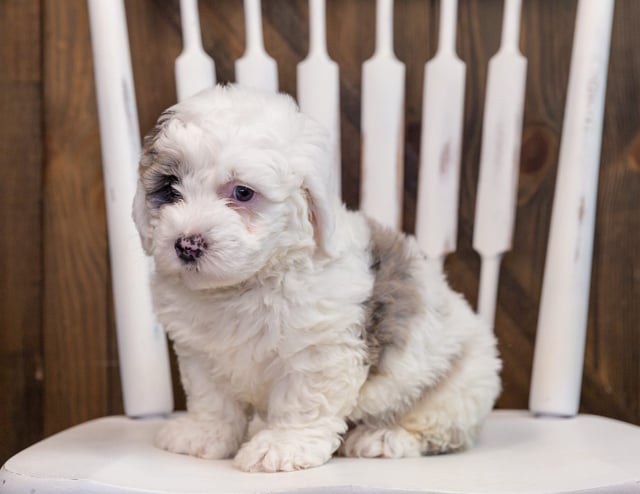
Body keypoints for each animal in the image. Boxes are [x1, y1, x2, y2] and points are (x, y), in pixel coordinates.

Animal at [132, 84, 502, 470]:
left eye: (243, 192)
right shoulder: (199, 353)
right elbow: (211, 399)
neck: (246, 284)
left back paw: (383, 437)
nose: (187, 244)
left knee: (436, 424)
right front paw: (204, 434)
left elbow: (302, 401)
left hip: (460, 382)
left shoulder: (318, 350)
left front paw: (282, 446)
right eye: (170, 187)